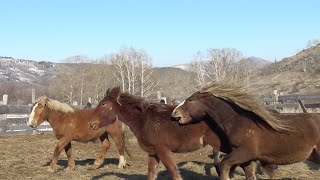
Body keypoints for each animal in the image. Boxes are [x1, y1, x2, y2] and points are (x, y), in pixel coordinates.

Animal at [88, 87, 264, 180]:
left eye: (103, 104)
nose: (91, 123)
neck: (145, 120)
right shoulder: (153, 153)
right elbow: (151, 174)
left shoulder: (163, 150)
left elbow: (174, 173)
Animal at [171, 83, 320, 180]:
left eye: (190, 99)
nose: (174, 114)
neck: (237, 122)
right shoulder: (249, 159)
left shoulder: (245, 152)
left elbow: (224, 165)